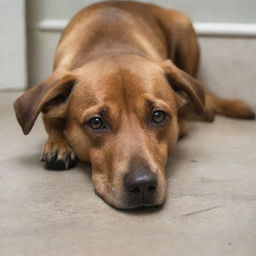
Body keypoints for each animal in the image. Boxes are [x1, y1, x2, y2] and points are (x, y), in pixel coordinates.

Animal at [13, 1, 254, 209]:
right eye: (96, 122)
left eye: (158, 116)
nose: (143, 184)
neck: (111, 46)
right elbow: (49, 118)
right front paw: (58, 143)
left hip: (184, 27)